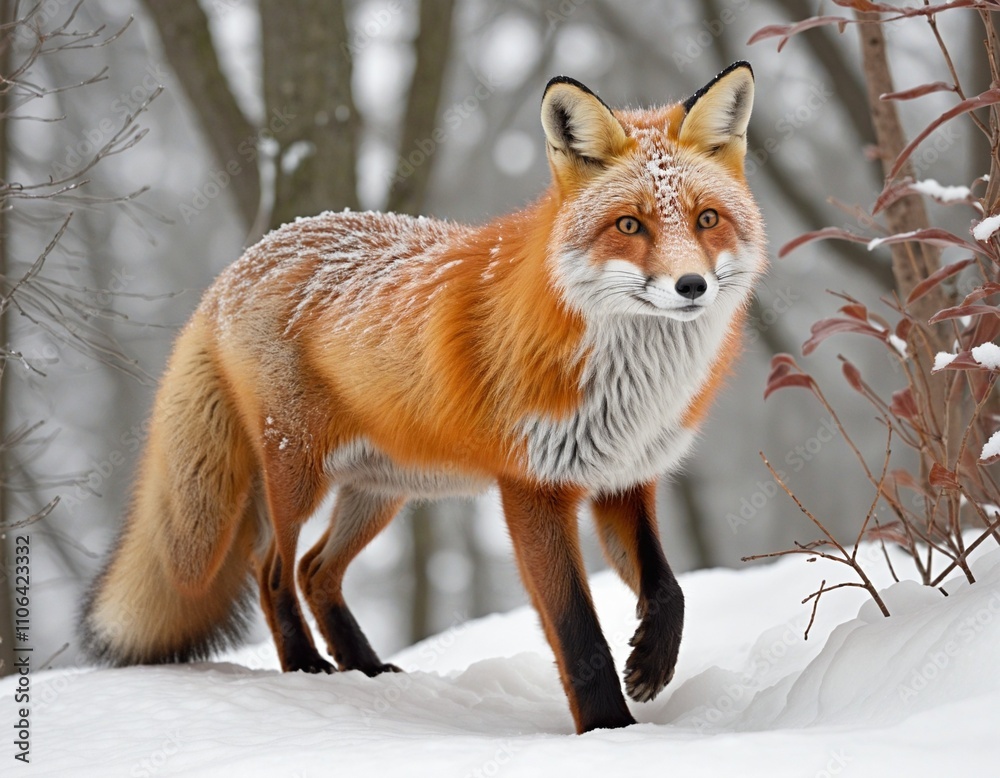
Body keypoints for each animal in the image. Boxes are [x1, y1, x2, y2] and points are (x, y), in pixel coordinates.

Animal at [80, 62, 766, 734]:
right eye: (629, 225)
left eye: (707, 219)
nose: (691, 285)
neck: (630, 384)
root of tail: (239, 265)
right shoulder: (533, 487)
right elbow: (578, 634)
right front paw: (608, 733)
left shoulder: (625, 478)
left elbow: (668, 587)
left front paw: (651, 663)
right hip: (297, 473)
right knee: (270, 568)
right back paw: (306, 666)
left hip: (382, 489)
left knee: (315, 572)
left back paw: (364, 668)